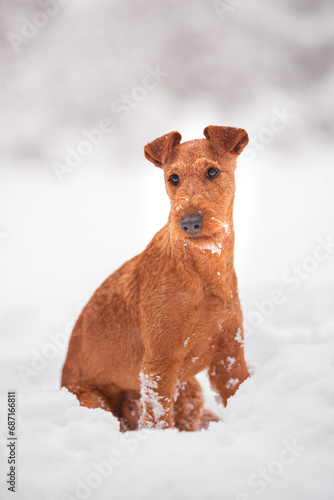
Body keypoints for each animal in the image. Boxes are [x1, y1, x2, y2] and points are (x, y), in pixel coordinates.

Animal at [62, 125, 250, 430]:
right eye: (173, 178)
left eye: (212, 171)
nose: (190, 223)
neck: (203, 273)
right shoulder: (158, 364)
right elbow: (158, 420)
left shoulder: (230, 353)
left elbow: (238, 390)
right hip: (95, 401)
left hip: (190, 389)